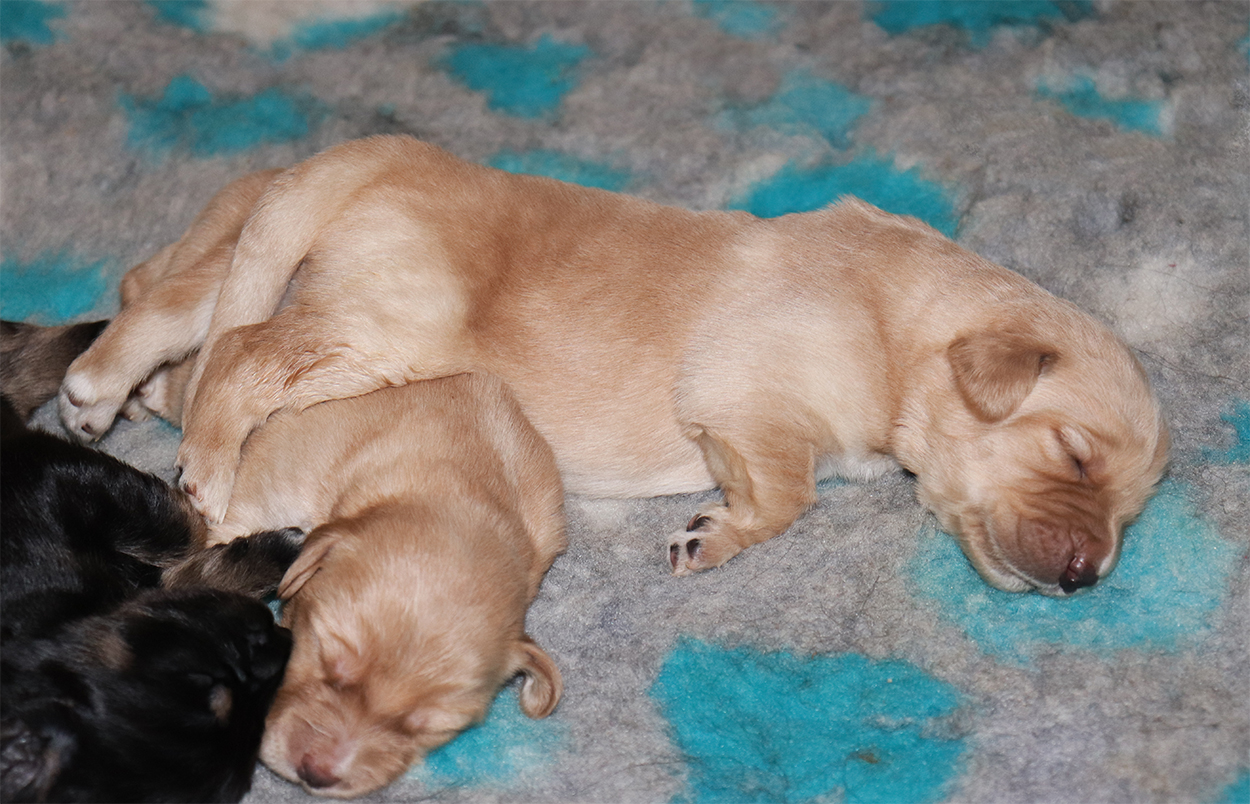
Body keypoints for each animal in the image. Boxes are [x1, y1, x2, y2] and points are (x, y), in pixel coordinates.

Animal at [1, 321, 303, 803]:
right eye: (207, 686)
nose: (279, 637)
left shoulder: (64, 478)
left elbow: (176, 531)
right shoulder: (55, 474)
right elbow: (183, 540)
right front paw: (280, 547)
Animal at [59, 135, 1169, 595]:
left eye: (1130, 509)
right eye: (1072, 454)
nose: (1088, 577)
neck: (910, 322)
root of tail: (379, 151)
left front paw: (714, 532)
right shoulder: (745, 388)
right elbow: (790, 490)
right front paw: (716, 534)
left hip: (263, 259)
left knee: (163, 301)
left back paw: (104, 393)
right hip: (386, 326)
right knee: (243, 356)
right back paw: (203, 464)